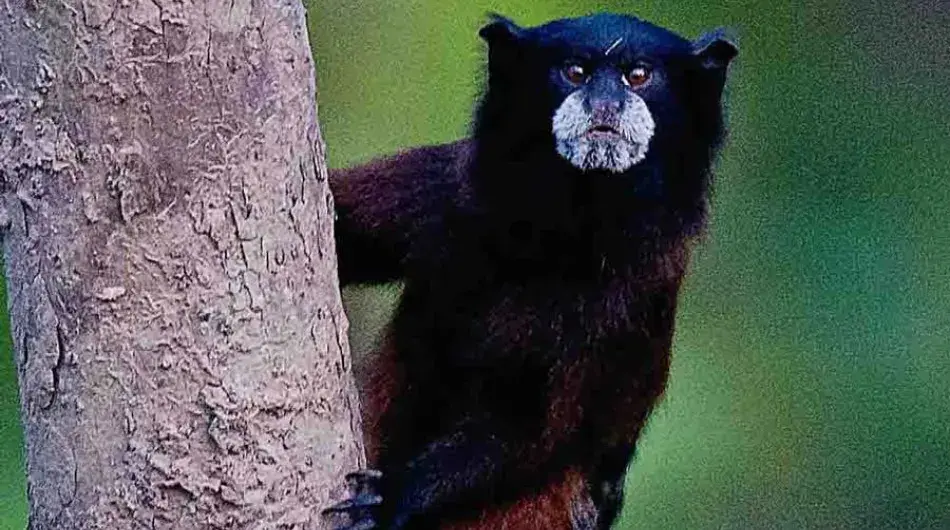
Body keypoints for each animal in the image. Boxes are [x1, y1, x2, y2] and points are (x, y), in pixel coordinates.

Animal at [323, 12, 737, 530]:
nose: (605, 104)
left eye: (637, 75)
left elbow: (536, 428)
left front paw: (390, 499)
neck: (563, 235)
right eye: (575, 71)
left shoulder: (634, 296)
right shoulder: (438, 187)